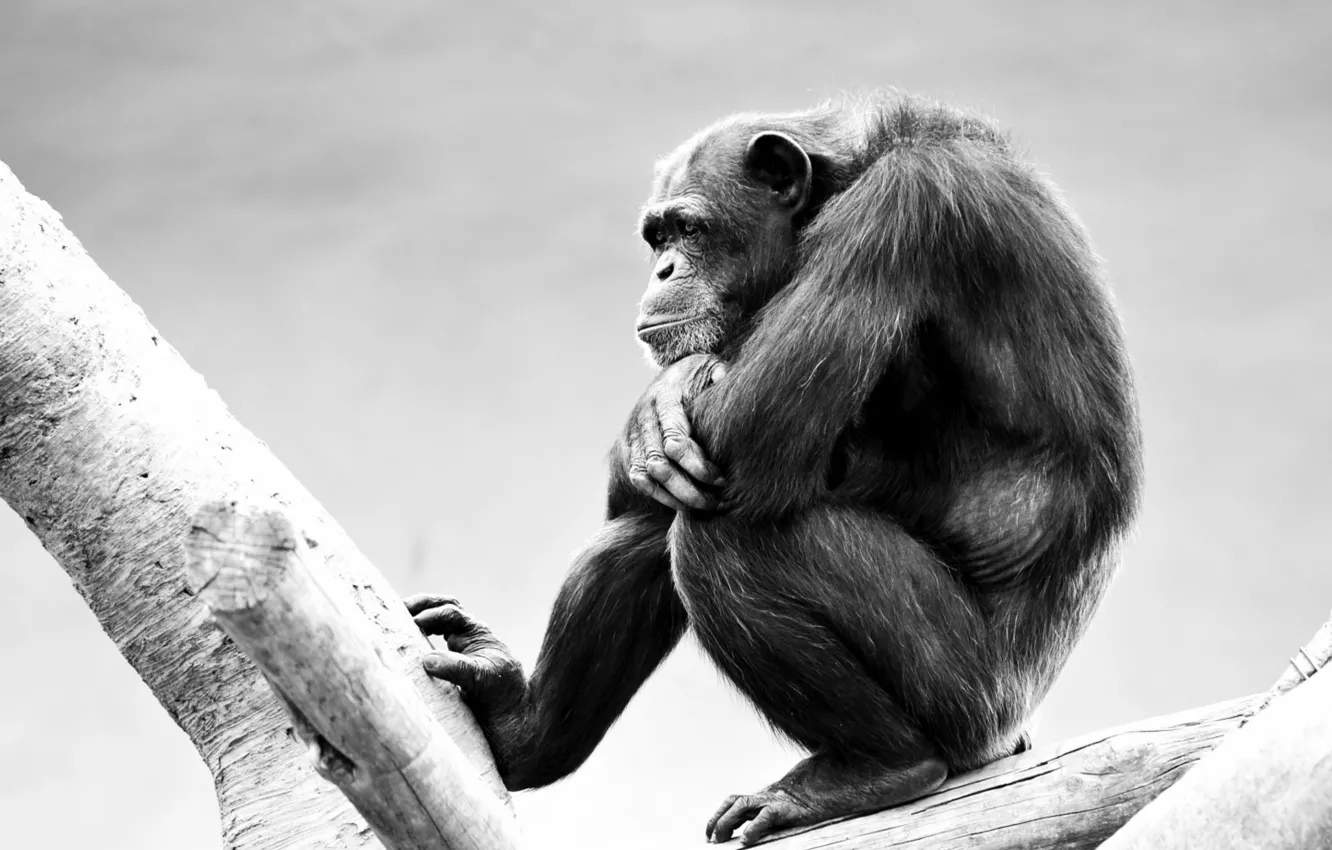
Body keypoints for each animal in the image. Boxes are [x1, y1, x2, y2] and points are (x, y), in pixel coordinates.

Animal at [407, 89, 1142, 844]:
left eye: (690, 230)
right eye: (656, 238)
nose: (663, 272)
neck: (846, 178)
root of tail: (1011, 733)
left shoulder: (903, 212)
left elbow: (751, 439)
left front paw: (666, 400)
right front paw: (657, 412)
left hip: (964, 694)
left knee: (724, 537)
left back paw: (878, 766)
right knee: (650, 527)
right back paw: (520, 729)